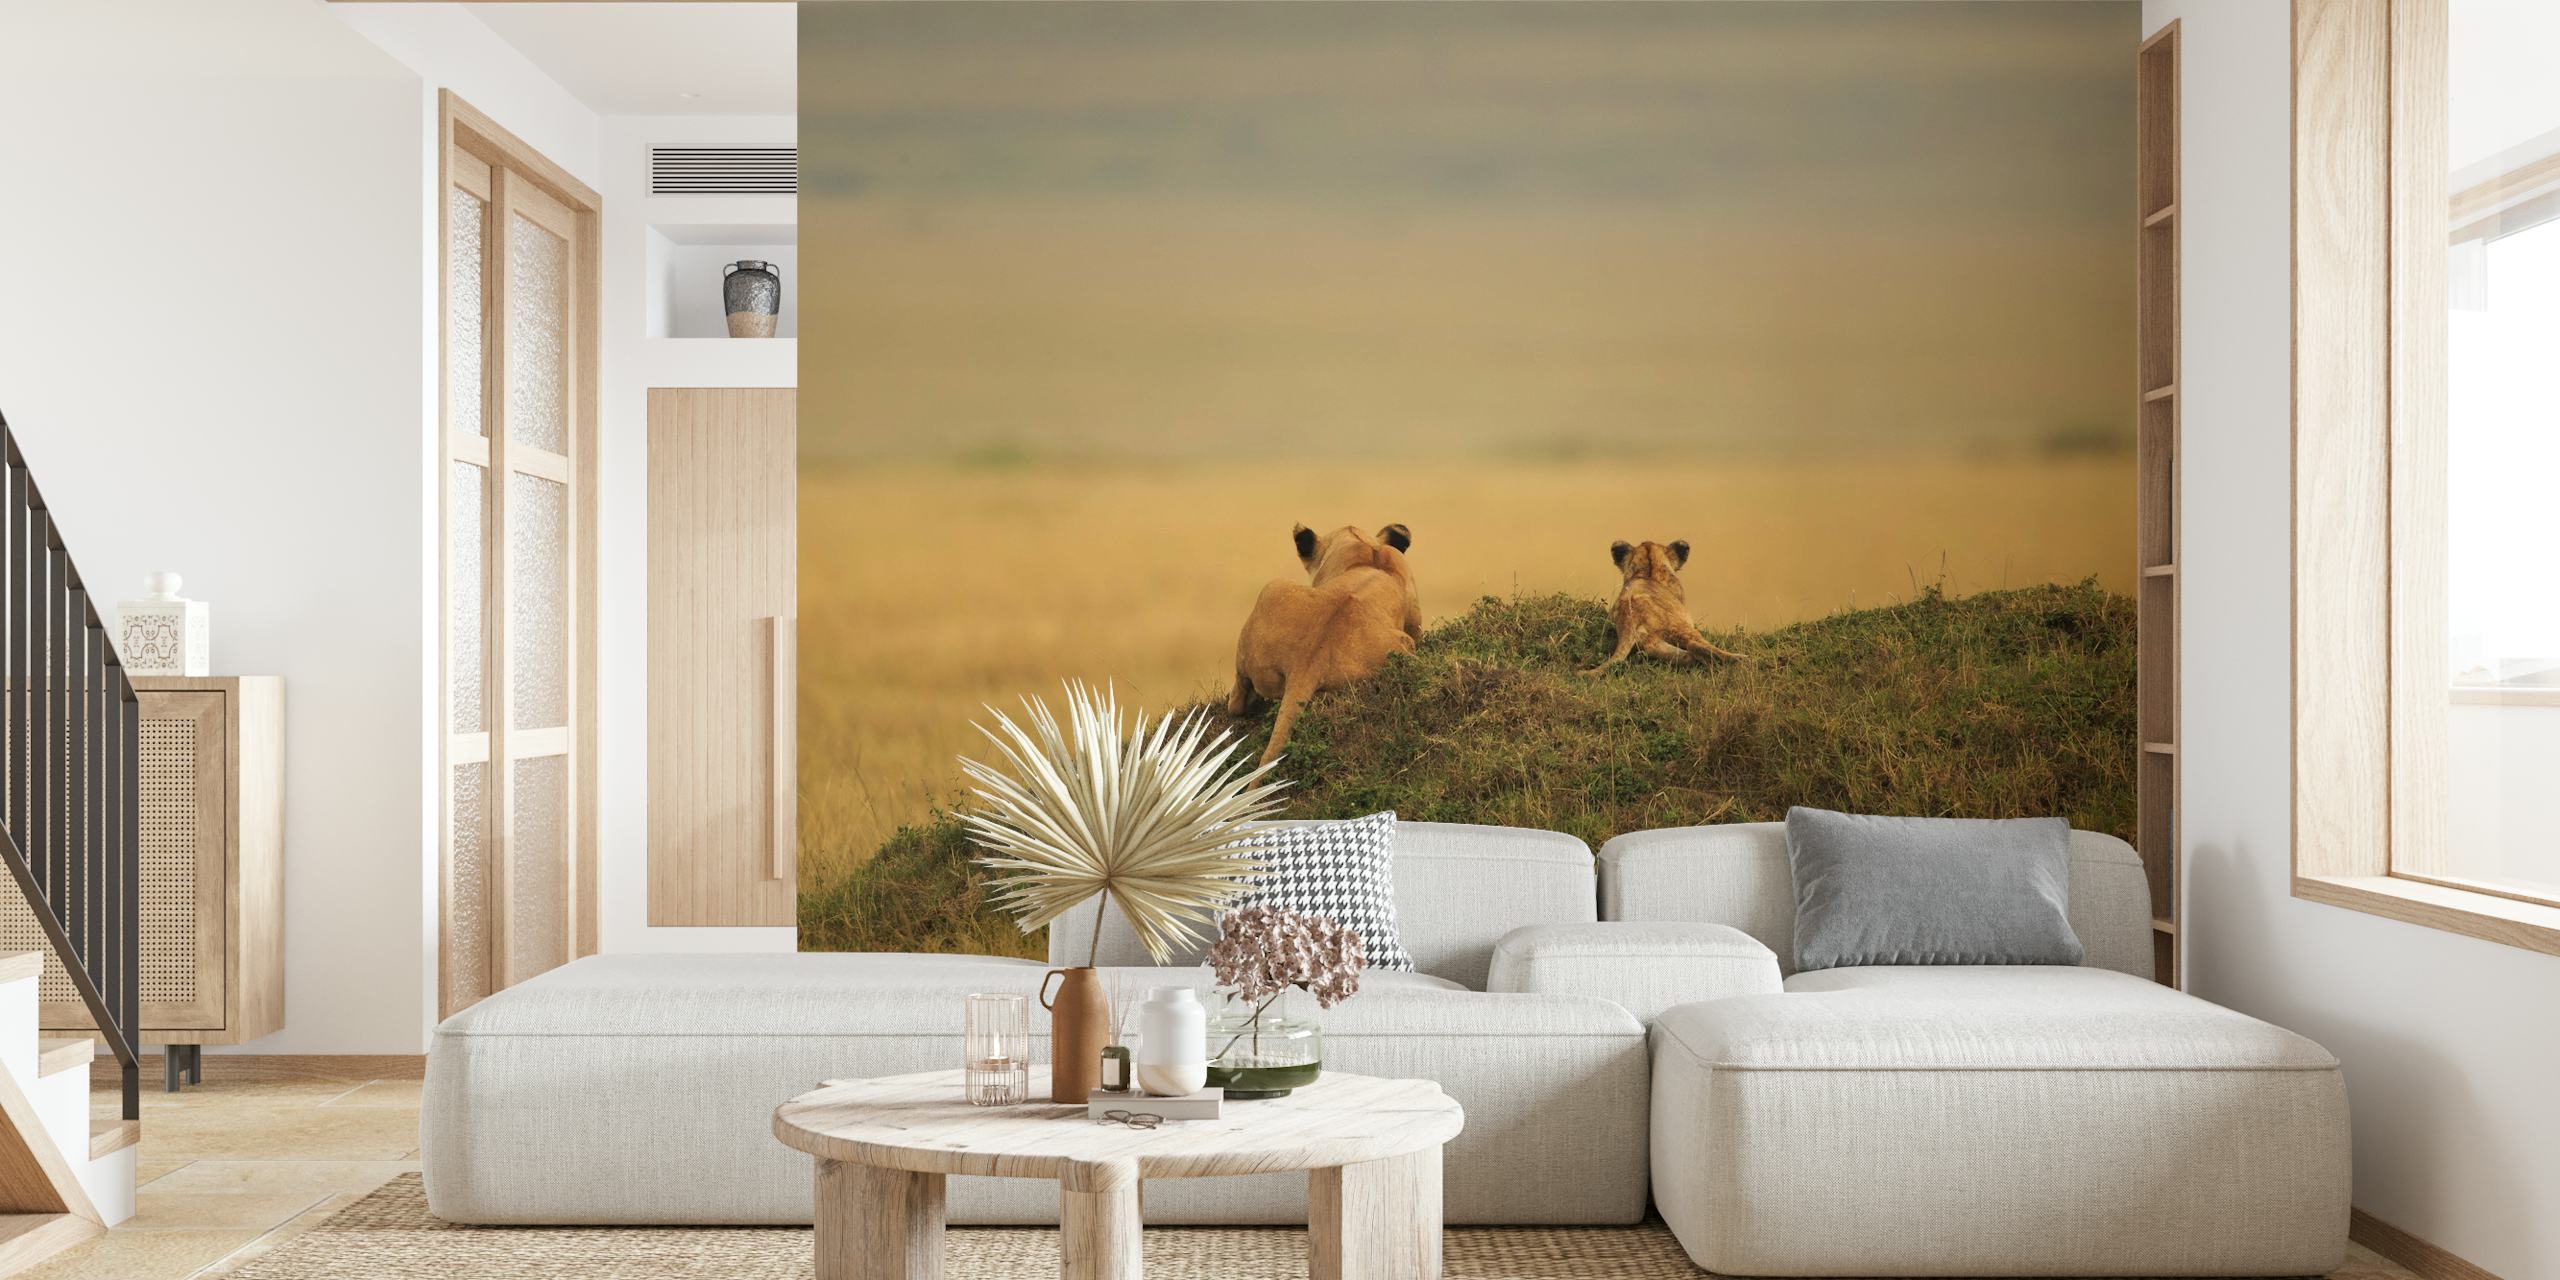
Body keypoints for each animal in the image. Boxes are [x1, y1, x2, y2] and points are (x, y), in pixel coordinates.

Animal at [1582, 538, 1745, 674]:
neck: (1648, 571)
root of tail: (1630, 617)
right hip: (1680, 626)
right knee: (1695, 644)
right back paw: (1738, 658)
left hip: (1652, 640)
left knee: (1657, 649)